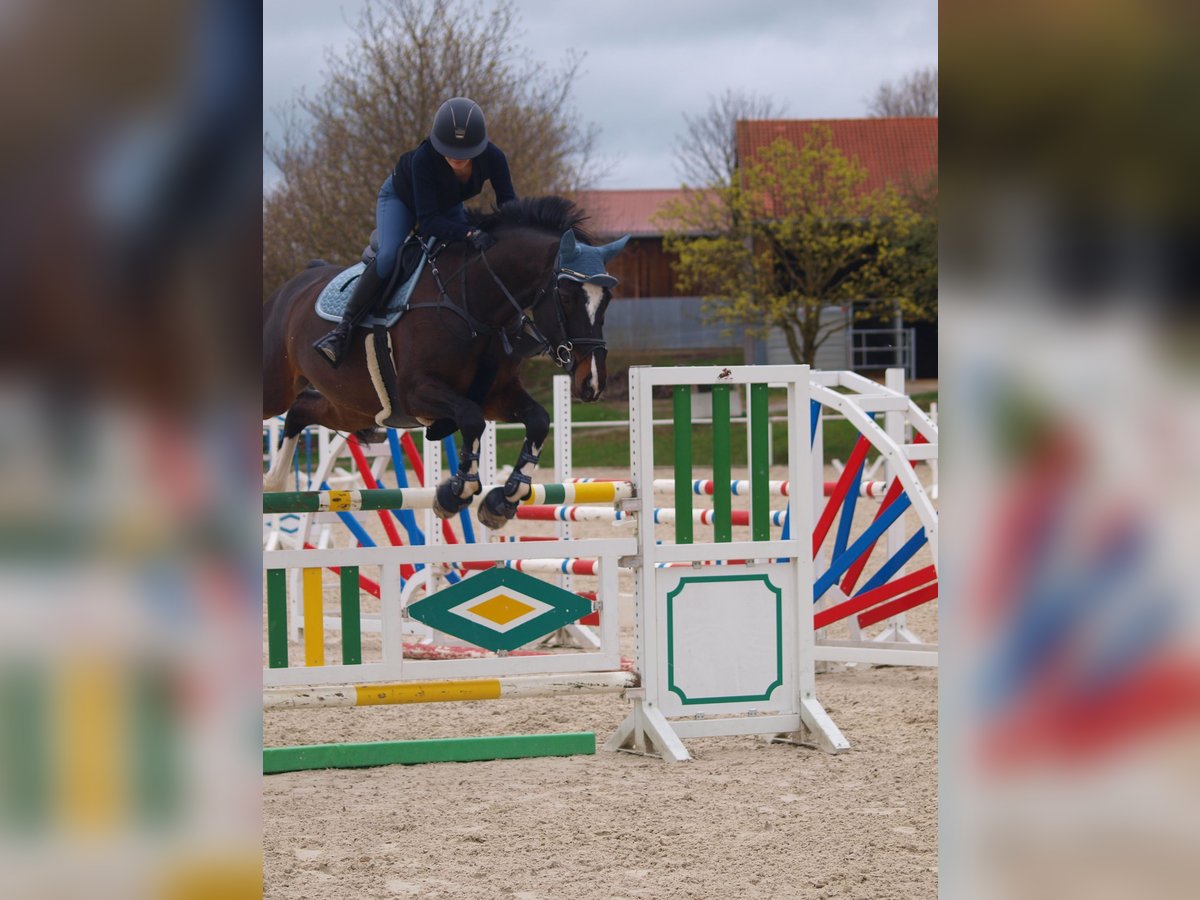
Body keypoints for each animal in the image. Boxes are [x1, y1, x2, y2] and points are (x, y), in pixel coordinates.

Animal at [262, 196, 628, 528]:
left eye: (607, 298)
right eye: (565, 296)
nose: (592, 383)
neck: (475, 306)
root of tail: (291, 286)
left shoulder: (498, 396)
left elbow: (537, 420)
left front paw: (504, 498)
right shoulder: (416, 392)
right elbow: (471, 419)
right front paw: (457, 493)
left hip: (353, 408)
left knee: (300, 410)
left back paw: (273, 482)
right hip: (279, 388)